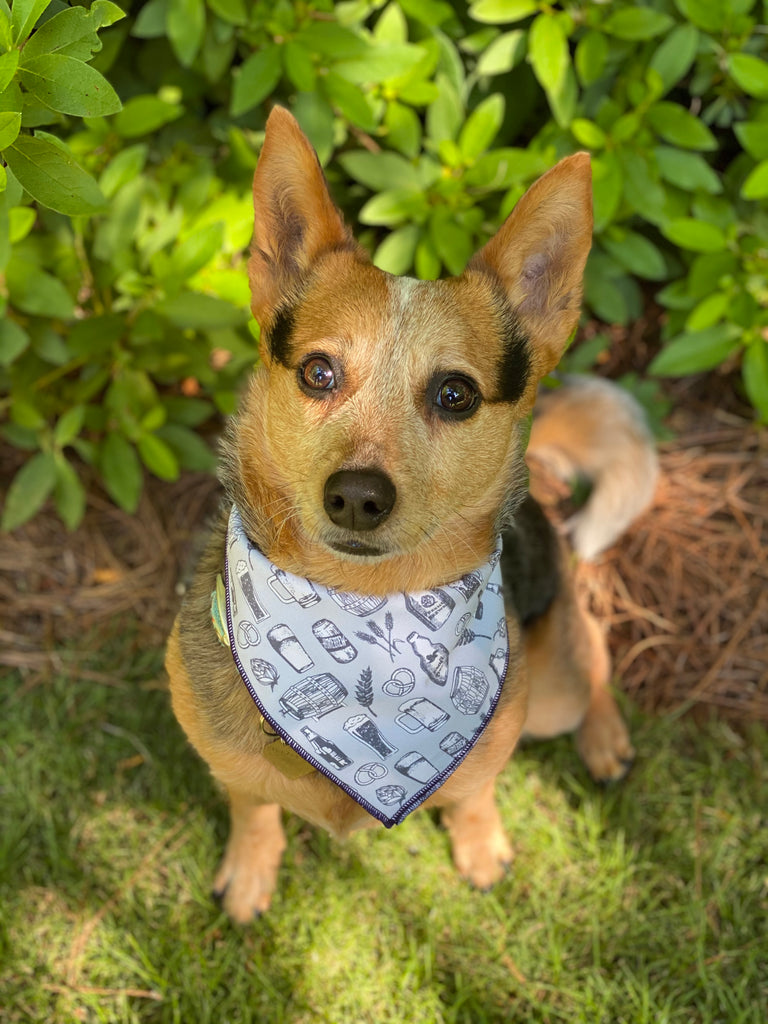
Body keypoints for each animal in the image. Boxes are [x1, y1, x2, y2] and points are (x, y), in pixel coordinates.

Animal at [163, 108, 651, 925]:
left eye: (456, 394)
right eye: (317, 372)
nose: (357, 495)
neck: (364, 612)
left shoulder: (489, 752)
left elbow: (476, 792)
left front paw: (481, 847)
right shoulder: (223, 759)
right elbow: (253, 807)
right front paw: (252, 870)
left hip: (551, 692)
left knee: (592, 652)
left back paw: (606, 735)